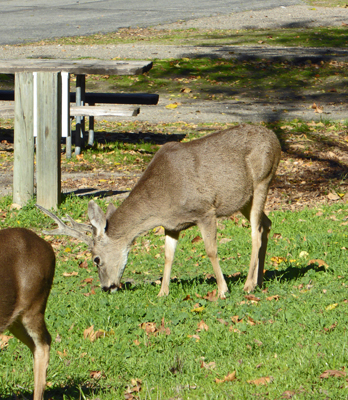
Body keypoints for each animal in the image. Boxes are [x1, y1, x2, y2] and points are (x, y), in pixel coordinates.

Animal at [38, 126, 282, 300]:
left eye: (96, 259)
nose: (106, 287)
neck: (163, 201)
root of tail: (275, 139)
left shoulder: (205, 210)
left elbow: (211, 251)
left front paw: (223, 289)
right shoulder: (172, 225)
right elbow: (168, 256)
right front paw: (162, 292)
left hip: (262, 180)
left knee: (256, 232)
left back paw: (248, 285)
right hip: (244, 199)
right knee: (267, 223)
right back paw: (259, 281)